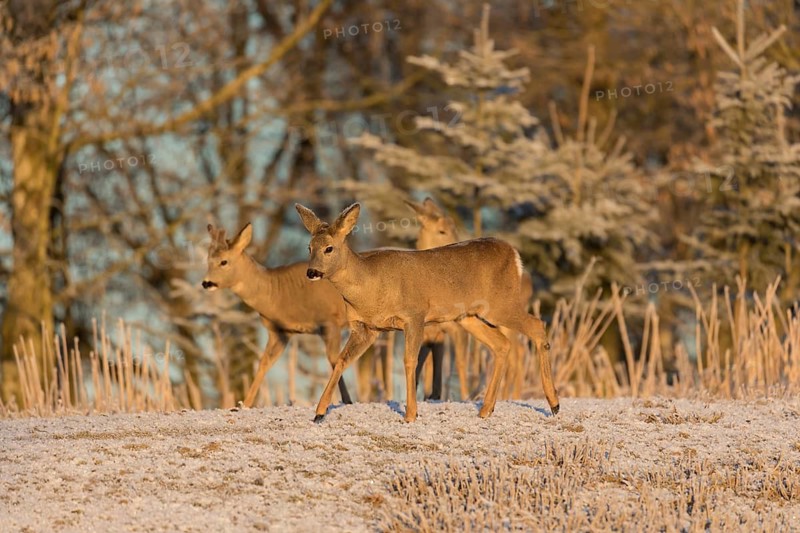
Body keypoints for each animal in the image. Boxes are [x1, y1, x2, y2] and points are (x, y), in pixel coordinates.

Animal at [201, 223, 353, 408]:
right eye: (208, 260)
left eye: (224, 261)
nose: (206, 283)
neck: (278, 293)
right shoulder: (279, 331)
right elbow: (263, 363)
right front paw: (245, 404)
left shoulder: (330, 321)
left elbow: (334, 360)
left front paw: (347, 401)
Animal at [295, 202, 559, 423]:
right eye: (309, 247)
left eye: (329, 248)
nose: (311, 272)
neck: (371, 286)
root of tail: (514, 254)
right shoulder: (365, 328)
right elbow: (341, 360)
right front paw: (319, 413)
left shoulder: (414, 315)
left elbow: (410, 361)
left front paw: (411, 414)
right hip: (468, 316)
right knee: (502, 344)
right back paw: (486, 409)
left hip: (500, 304)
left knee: (537, 326)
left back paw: (554, 404)